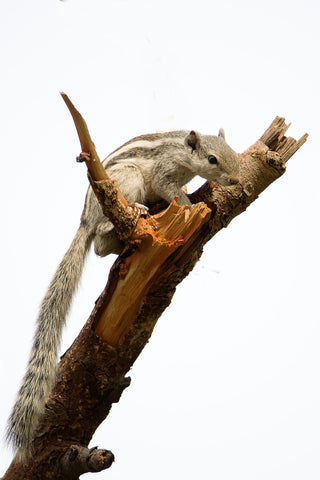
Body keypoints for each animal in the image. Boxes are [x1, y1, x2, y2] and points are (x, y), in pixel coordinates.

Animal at [6, 129, 239, 460]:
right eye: (212, 159)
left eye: (233, 152)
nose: (235, 180)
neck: (182, 152)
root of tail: (85, 220)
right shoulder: (163, 173)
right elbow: (171, 190)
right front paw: (188, 202)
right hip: (127, 180)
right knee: (100, 237)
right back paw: (136, 212)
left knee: (102, 247)